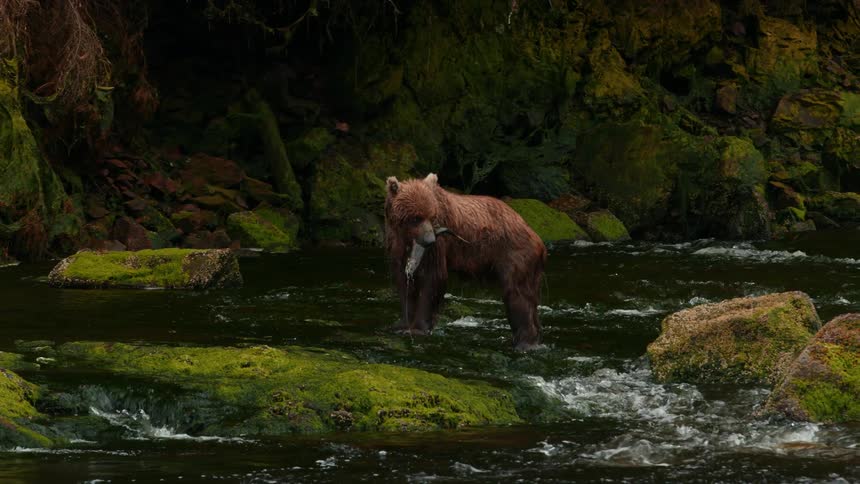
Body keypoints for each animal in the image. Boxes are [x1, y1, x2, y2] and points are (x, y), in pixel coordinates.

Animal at [384, 173, 547, 350]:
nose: (430, 239)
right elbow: (404, 282)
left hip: (515, 254)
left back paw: (524, 342)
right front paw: (401, 324)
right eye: (415, 217)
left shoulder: (438, 246)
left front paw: (418, 328)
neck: (408, 238)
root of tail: (538, 238)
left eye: (432, 216)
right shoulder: (397, 245)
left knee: (518, 296)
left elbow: (432, 279)